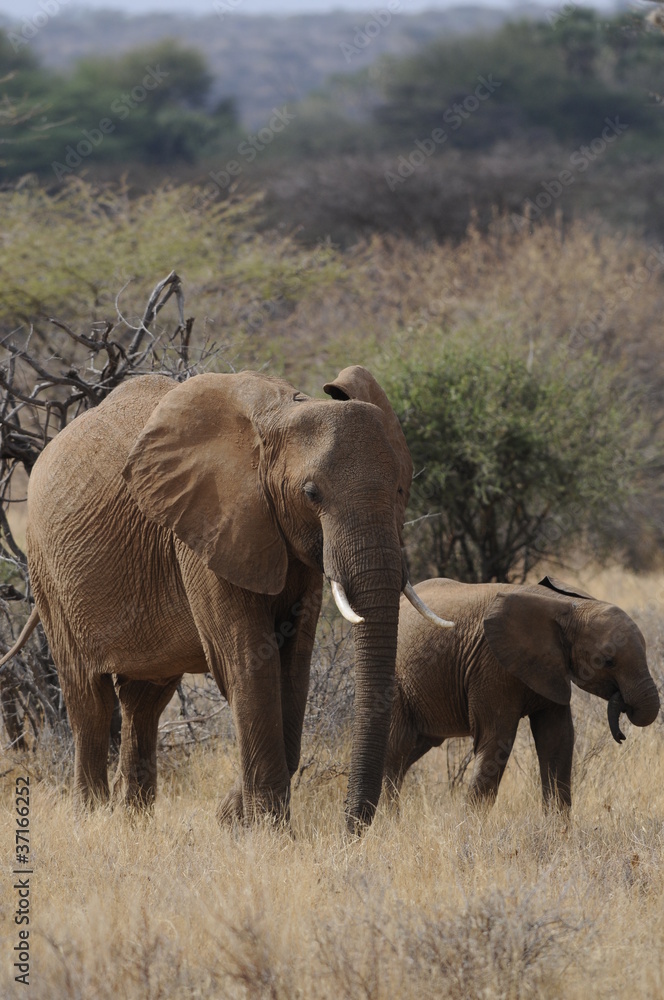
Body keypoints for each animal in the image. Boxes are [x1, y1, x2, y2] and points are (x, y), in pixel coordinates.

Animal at [3, 366, 452, 828]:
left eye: (401, 490)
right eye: (311, 493)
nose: (349, 829)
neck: (283, 413)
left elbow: (294, 664)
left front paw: (231, 820)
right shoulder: (209, 526)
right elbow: (247, 660)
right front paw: (265, 832)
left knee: (144, 700)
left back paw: (133, 821)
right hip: (48, 571)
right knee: (88, 697)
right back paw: (92, 818)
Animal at [384, 576, 660, 808]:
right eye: (607, 661)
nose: (621, 735)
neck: (567, 606)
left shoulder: (552, 669)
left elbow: (557, 740)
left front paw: (558, 834)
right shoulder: (491, 664)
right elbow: (496, 740)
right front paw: (469, 832)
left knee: (411, 750)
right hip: (395, 682)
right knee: (397, 748)